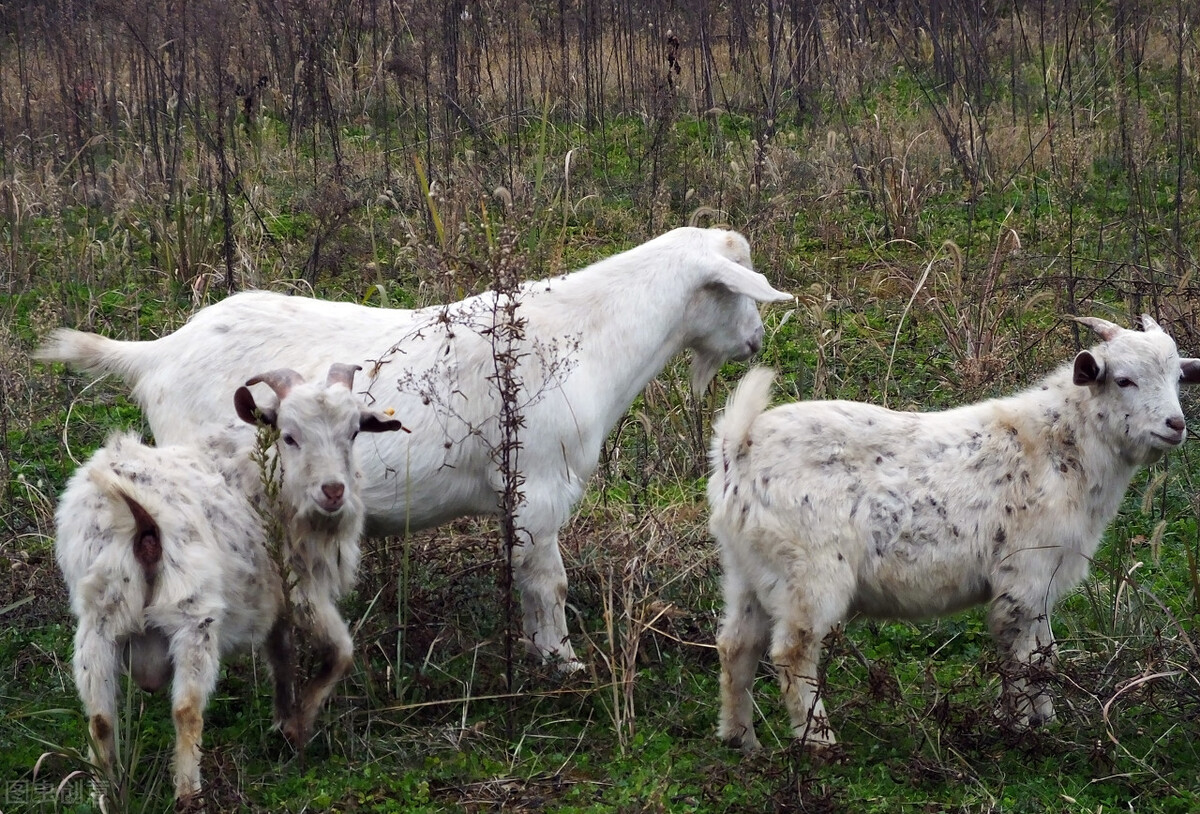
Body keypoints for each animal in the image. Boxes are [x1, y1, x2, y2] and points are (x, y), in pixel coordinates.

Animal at [37, 226, 792, 667]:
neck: (590, 333)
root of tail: (156, 355)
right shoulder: (539, 487)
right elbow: (546, 582)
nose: (757, 340)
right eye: (738, 288)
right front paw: (560, 660)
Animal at [56, 367, 405, 801]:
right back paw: (189, 794)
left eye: (354, 432)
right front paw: (297, 728)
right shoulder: (299, 589)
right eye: (290, 435)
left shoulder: (272, 601)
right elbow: (340, 652)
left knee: (100, 717)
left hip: (98, 617)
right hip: (193, 614)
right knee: (186, 710)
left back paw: (108, 794)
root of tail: (137, 513)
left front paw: (282, 720)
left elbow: (281, 654)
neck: (257, 471)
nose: (333, 491)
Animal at [705, 314, 1200, 749]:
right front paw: (1023, 729)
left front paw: (1042, 718)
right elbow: (1024, 654)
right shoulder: (1024, 575)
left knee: (736, 644)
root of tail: (739, 446)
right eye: (1124, 380)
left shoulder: (1044, 580)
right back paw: (817, 741)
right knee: (793, 650)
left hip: (747, 568)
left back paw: (740, 739)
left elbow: (1044, 650)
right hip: (811, 570)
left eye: (1178, 378)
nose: (1175, 425)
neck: (1058, 445)